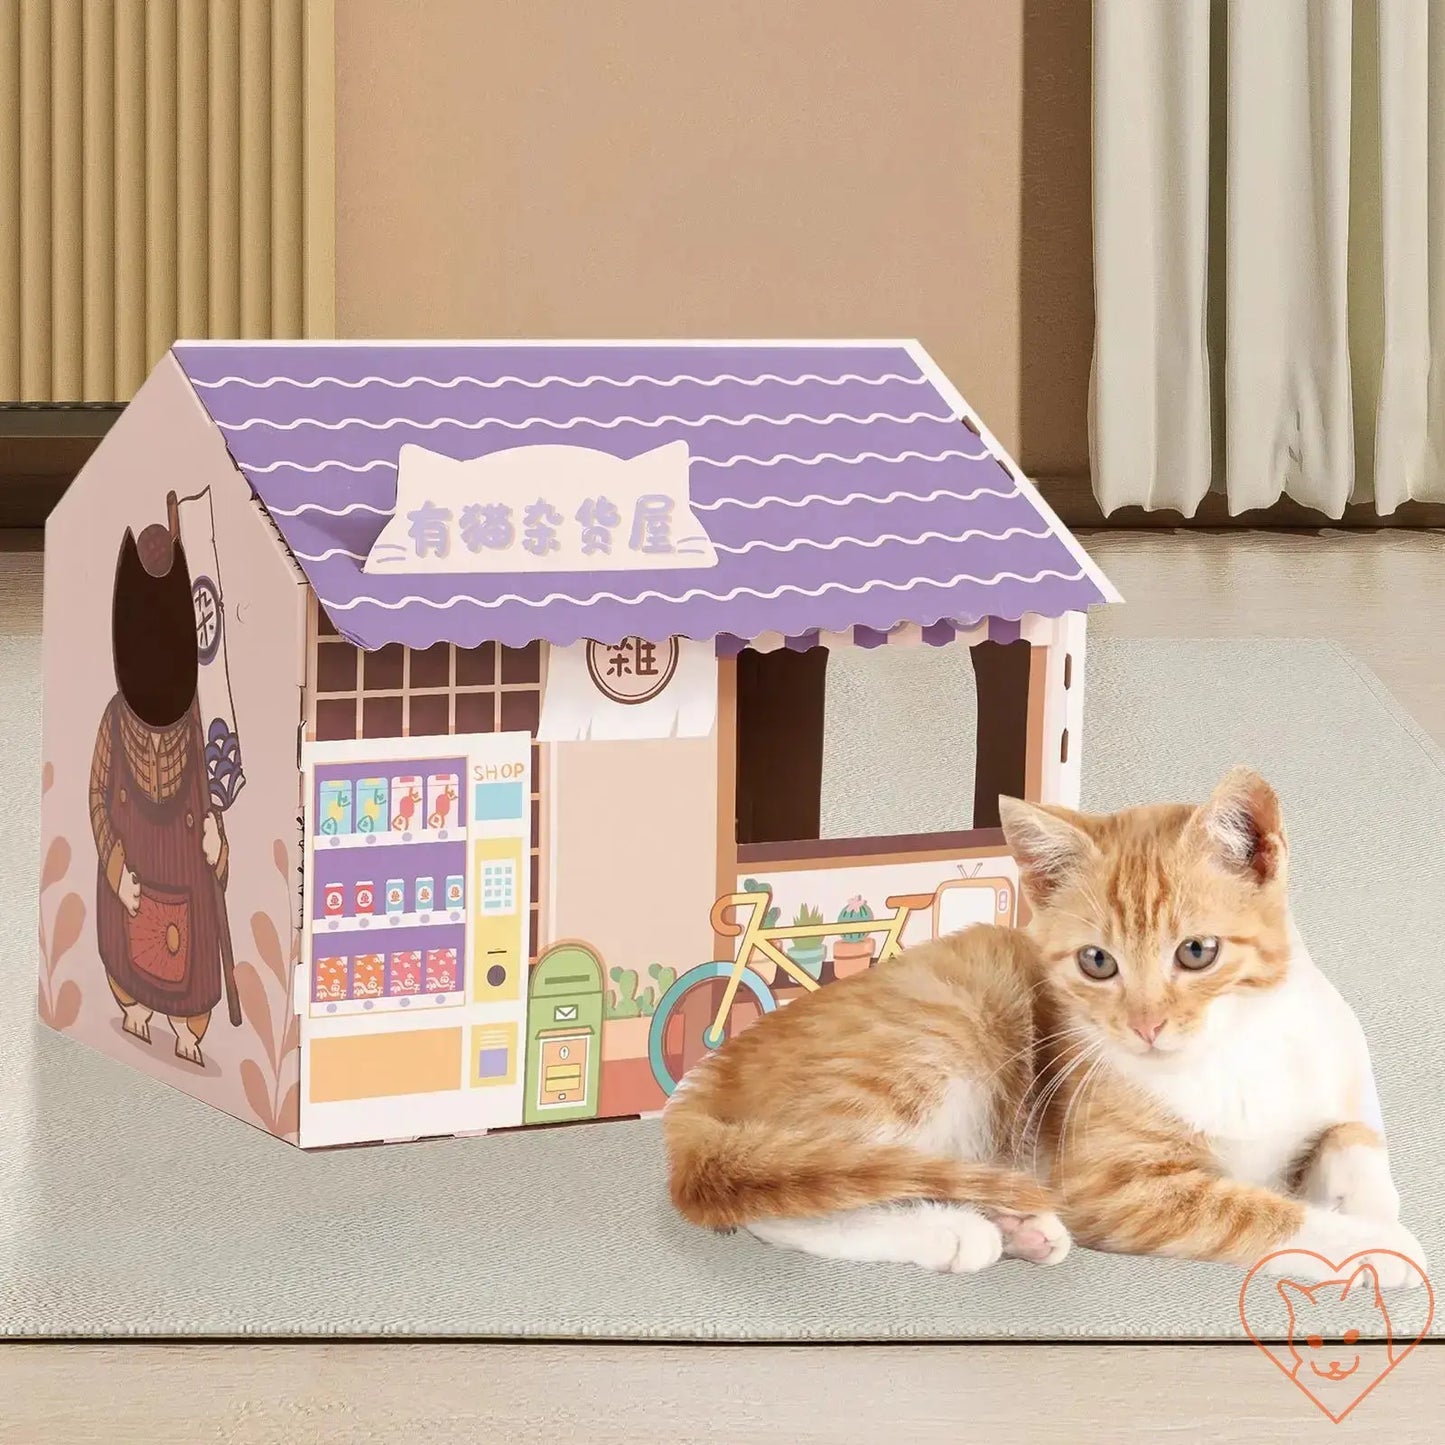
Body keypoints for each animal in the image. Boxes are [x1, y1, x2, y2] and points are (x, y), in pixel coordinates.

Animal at [661, 768, 1421, 1288]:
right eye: (1097, 962)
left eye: (1197, 952)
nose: (1145, 1025)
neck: (1231, 1050)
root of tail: (707, 1079)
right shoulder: (1115, 1190)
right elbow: (1260, 1212)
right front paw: (1375, 1246)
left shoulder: (1337, 1081)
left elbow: (1355, 1139)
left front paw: (1374, 1207)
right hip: (936, 1044)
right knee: (792, 1200)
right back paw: (956, 1233)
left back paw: (1013, 1222)